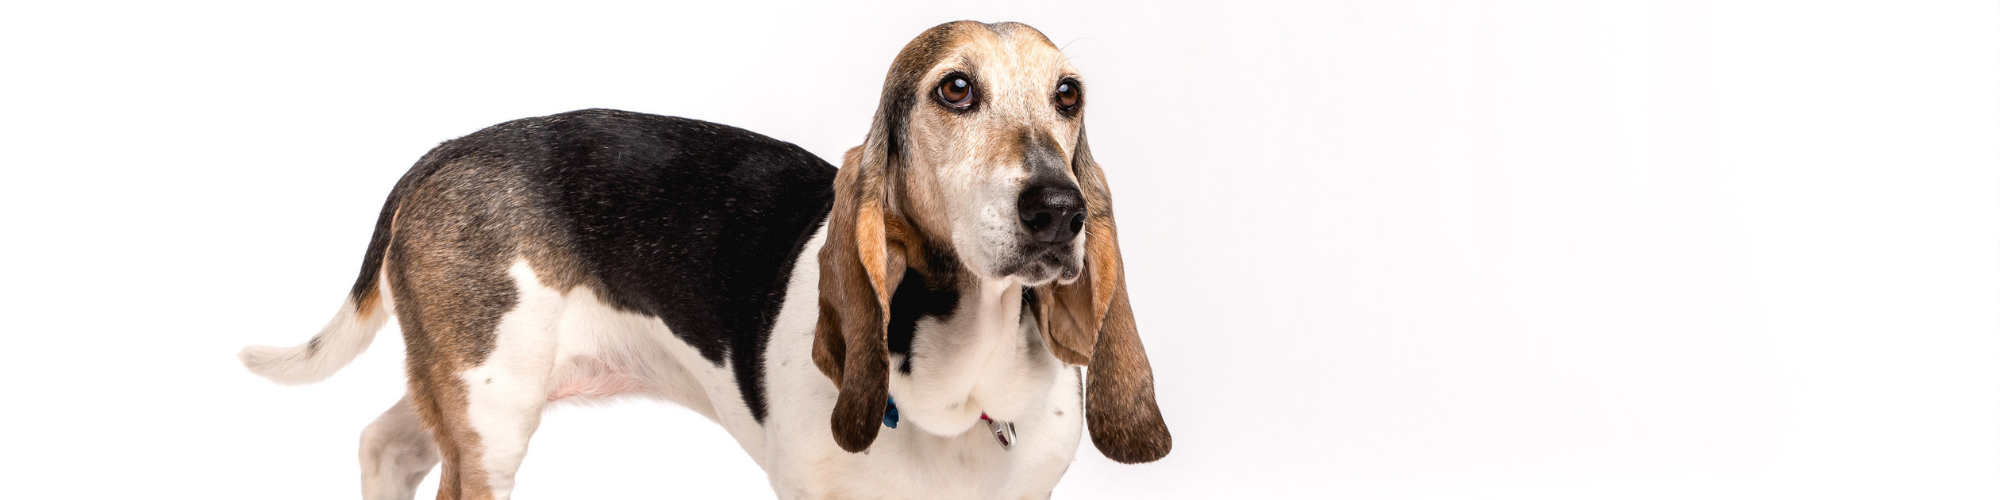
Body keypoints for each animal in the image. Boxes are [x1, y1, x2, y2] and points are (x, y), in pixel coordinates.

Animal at [240, 20, 1168, 500]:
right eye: (956, 90)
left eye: (1068, 95)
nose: (1059, 210)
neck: (966, 388)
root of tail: (445, 152)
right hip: (492, 419)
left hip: (470, 389)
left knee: (383, 443)